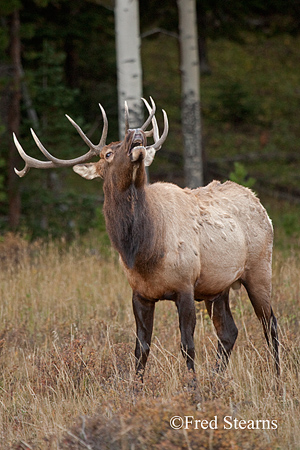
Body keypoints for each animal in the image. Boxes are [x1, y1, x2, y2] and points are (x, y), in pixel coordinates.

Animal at [13, 98, 282, 380]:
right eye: (107, 154)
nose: (135, 132)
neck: (143, 251)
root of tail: (258, 202)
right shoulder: (139, 293)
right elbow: (141, 348)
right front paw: (137, 387)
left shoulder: (185, 285)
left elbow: (187, 345)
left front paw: (192, 386)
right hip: (217, 287)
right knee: (229, 331)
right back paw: (216, 379)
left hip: (259, 268)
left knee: (270, 325)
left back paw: (276, 377)